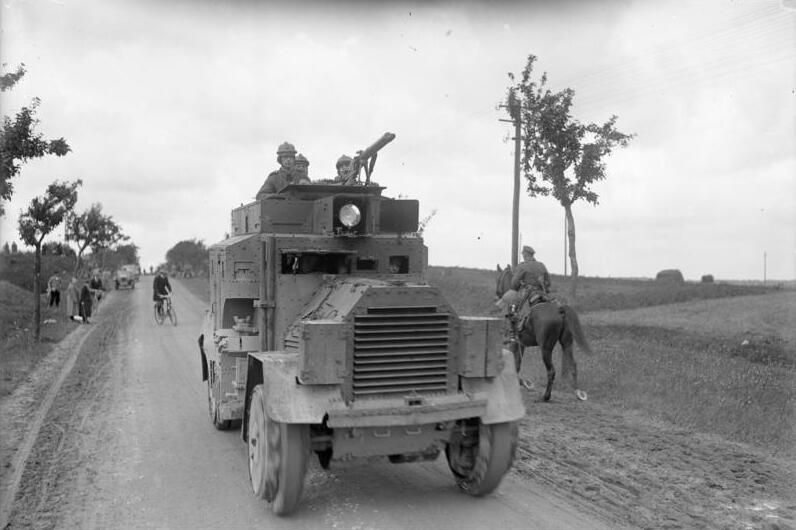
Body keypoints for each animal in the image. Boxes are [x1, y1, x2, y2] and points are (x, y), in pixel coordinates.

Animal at [494, 264, 588, 400]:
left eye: (499, 279)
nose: (497, 294)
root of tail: (560, 310)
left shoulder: (515, 343)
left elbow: (515, 365)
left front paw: (524, 383)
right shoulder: (521, 345)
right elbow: (517, 364)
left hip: (545, 349)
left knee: (551, 371)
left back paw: (546, 396)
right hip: (567, 343)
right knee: (573, 366)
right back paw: (578, 392)